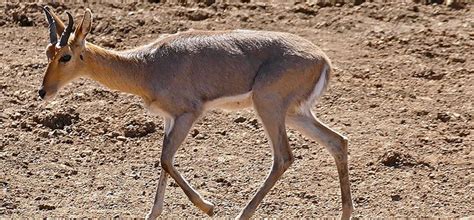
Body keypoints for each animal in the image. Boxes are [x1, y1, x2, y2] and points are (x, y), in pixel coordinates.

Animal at [39, 6, 352, 218]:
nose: (43, 92)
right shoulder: (169, 119)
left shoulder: (189, 114)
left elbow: (166, 159)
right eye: (48, 52)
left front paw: (209, 207)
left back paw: (241, 214)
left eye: (66, 56)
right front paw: (152, 214)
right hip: (294, 113)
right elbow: (164, 162)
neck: (146, 66)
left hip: (269, 106)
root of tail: (322, 59)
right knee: (337, 141)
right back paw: (345, 213)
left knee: (283, 157)